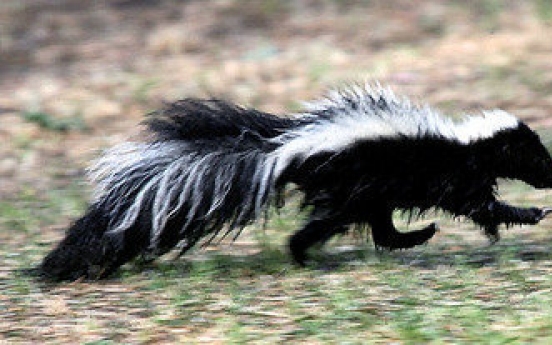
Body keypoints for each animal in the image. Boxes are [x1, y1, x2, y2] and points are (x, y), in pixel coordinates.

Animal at [38, 84, 552, 280]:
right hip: (350, 189)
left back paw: (416, 236)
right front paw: (527, 214)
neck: (466, 142)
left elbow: (479, 205)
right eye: (535, 155)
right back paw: (304, 258)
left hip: (364, 194)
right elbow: (478, 204)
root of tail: (285, 147)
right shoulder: (454, 173)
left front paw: (504, 224)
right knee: (322, 228)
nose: (551, 177)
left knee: (381, 228)